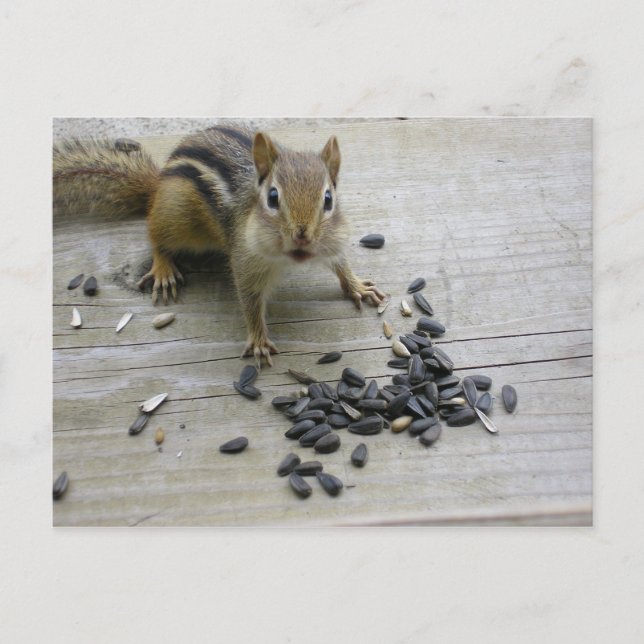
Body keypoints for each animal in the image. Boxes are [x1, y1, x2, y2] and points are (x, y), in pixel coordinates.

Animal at [53, 124, 385, 365]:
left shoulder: (333, 240)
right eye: (273, 198)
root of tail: (158, 182)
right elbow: (249, 300)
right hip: (175, 217)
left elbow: (341, 263)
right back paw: (163, 269)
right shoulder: (246, 257)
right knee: (156, 235)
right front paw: (259, 340)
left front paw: (357, 286)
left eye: (328, 199)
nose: (302, 235)